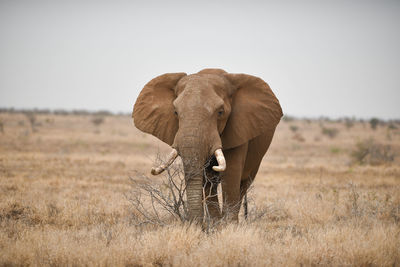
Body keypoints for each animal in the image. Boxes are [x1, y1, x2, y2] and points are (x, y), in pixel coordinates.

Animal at [133, 68, 282, 223]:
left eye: (221, 112)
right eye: (175, 112)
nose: (196, 224)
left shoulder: (239, 129)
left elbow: (231, 173)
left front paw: (228, 226)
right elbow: (207, 178)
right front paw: (216, 225)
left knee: (244, 184)